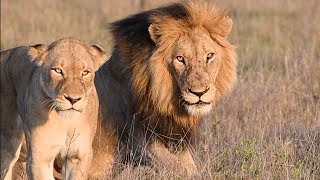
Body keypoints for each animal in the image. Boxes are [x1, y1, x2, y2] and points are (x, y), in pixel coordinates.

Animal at [0, 38, 108, 180]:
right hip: (8, 143)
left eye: (85, 73)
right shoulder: (40, 156)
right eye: (58, 70)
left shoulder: (79, 155)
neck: (66, 122)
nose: (73, 99)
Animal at [89, 0, 235, 177]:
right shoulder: (140, 141)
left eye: (209, 56)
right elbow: (178, 169)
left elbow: (191, 169)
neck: (165, 98)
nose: (199, 93)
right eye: (180, 59)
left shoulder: (175, 137)